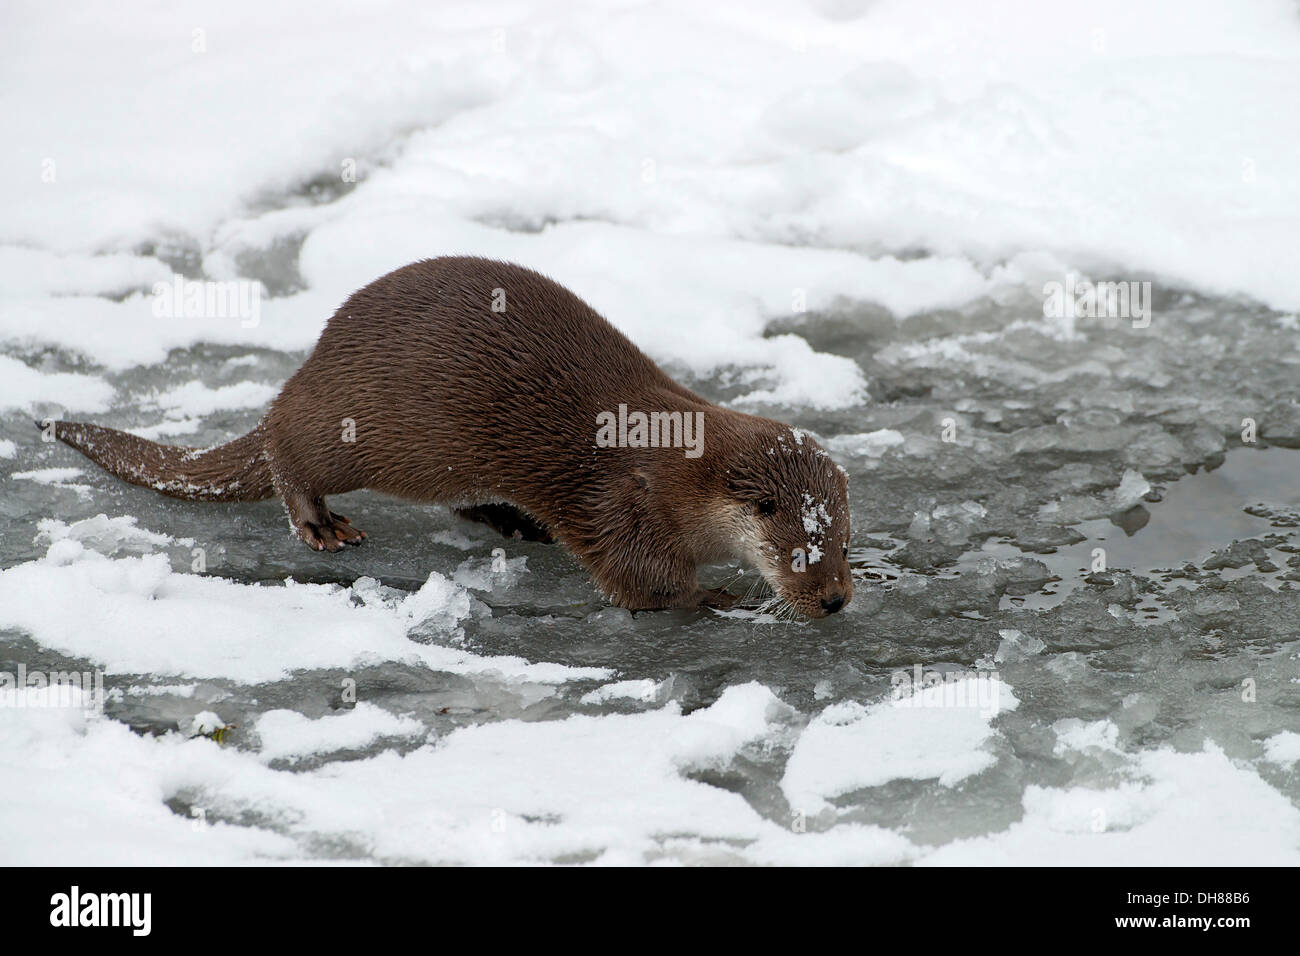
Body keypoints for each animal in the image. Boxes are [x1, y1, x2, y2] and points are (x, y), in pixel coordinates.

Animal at [45, 257, 852, 621]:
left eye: (842, 542)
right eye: (798, 550)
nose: (837, 599)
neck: (679, 473)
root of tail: (314, 359)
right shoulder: (622, 503)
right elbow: (639, 580)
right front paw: (712, 594)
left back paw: (511, 520)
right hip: (357, 427)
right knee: (284, 443)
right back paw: (320, 523)